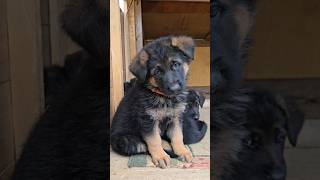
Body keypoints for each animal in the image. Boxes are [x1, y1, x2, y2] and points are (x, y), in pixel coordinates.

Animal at [110, 35, 195, 169]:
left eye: (176, 64)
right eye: (157, 72)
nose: (174, 89)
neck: (163, 97)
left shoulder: (176, 117)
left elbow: (177, 136)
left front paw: (182, 151)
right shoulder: (148, 120)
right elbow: (154, 140)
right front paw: (160, 157)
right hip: (127, 141)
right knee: (144, 146)